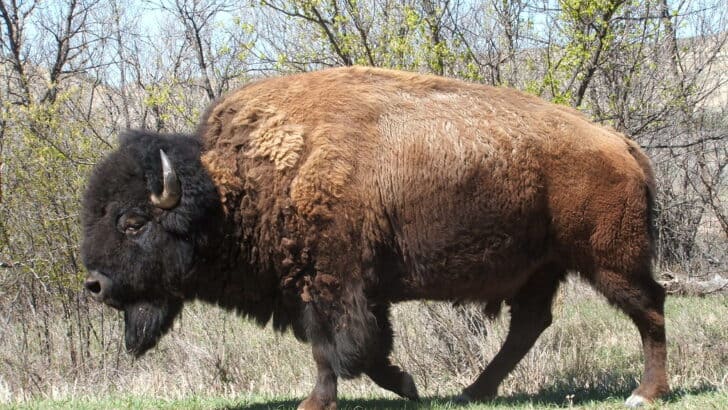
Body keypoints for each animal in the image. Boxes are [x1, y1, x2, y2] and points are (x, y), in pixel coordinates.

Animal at [81, 67, 668, 409]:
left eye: (133, 223)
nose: (95, 286)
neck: (238, 186)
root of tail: (619, 143)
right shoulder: (339, 292)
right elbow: (361, 349)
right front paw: (408, 385)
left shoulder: (331, 286)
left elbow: (336, 350)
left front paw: (317, 404)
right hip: (541, 268)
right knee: (529, 325)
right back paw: (474, 391)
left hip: (610, 259)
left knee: (650, 308)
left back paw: (645, 394)